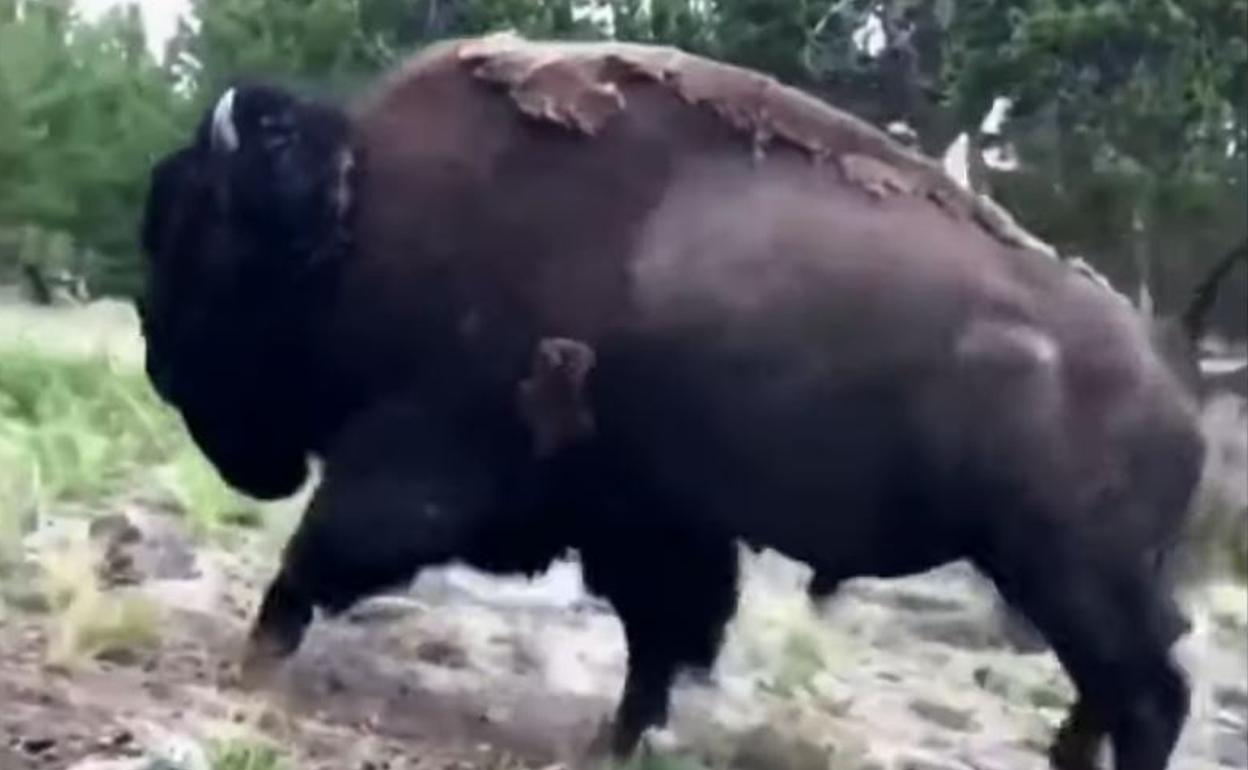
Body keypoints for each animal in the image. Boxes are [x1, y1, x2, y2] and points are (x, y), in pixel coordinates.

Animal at [131, 31, 1223, 768]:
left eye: (197, 231)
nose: (162, 369)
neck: (356, 214)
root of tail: (1180, 396)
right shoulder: (647, 516)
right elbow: (660, 636)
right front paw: (616, 739)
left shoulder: (433, 454)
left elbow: (326, 547)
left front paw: (255, 654)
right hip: (1068, 578)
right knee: (1122, 684)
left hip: (1067, 572)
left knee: (1149, 692)